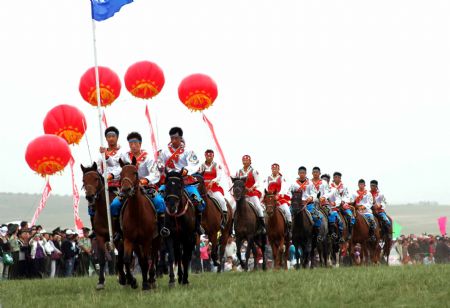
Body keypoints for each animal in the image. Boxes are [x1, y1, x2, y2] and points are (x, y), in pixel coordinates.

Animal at [80, 162, 133, 290]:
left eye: (96, 178)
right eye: (84, 180)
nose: (90, 196)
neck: (105, 212)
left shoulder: (118, 239)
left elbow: (120, 258)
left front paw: (124, 279)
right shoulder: (99, 238)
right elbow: (102, 259)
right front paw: (100, 282)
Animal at [118, 159, 159, 292]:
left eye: (135, 173)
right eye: (121, 173)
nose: (126, 189)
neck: (137, 214)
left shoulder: (146, 240)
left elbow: (146, 261)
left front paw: (146, 284)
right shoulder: (129, 240)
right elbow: (127, 260)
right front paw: (133, 281)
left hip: (156, 240)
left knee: (153, 257)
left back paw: (151, 279)